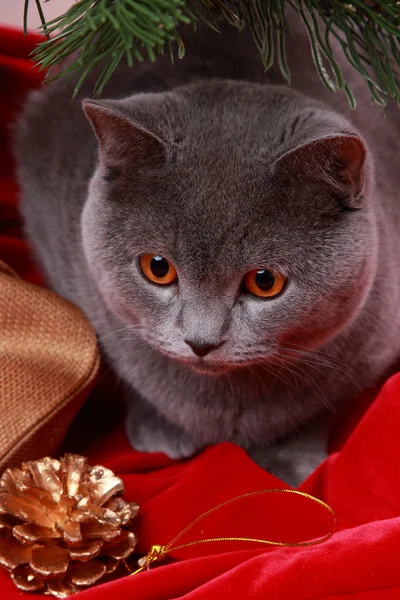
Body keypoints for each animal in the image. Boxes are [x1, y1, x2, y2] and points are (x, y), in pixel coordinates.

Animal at [14, 12, 400, 488]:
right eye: (157, 267)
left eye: (265, 281)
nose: (200, 341)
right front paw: (158, 430)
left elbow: (322, 407)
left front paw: (290, 460)